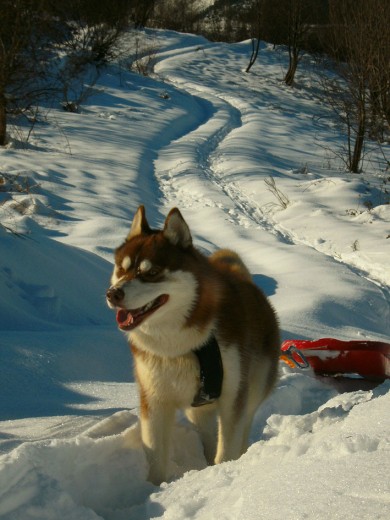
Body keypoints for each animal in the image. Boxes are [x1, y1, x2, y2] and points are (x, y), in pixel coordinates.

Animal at [105, 205, 278, 486]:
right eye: (122, 269)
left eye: (151, 272)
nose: (113, 294)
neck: (176, 345)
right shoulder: (154, 401)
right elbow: (155, 457)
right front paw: (154, 489)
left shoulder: (233, 397)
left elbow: (227, 449)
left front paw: (223, 472)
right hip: (197, 407)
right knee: (207, 434)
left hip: (253, 390)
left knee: (241, 430)